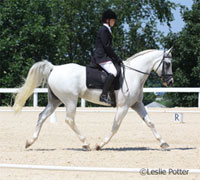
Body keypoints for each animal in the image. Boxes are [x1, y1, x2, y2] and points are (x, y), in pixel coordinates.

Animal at [13, 48, 173, 150]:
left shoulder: (137, 104)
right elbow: (115, 126)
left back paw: (30, 141)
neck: (134, 74)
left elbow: (150, 123)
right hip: (70, 100)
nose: (170, 82)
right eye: (168, 63)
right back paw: (86, 143)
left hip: (55, 101)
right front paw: (99, 145)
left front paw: (163, 143)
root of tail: (54, 68)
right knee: (69, 120)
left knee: (42, 116)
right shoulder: (123, 107)